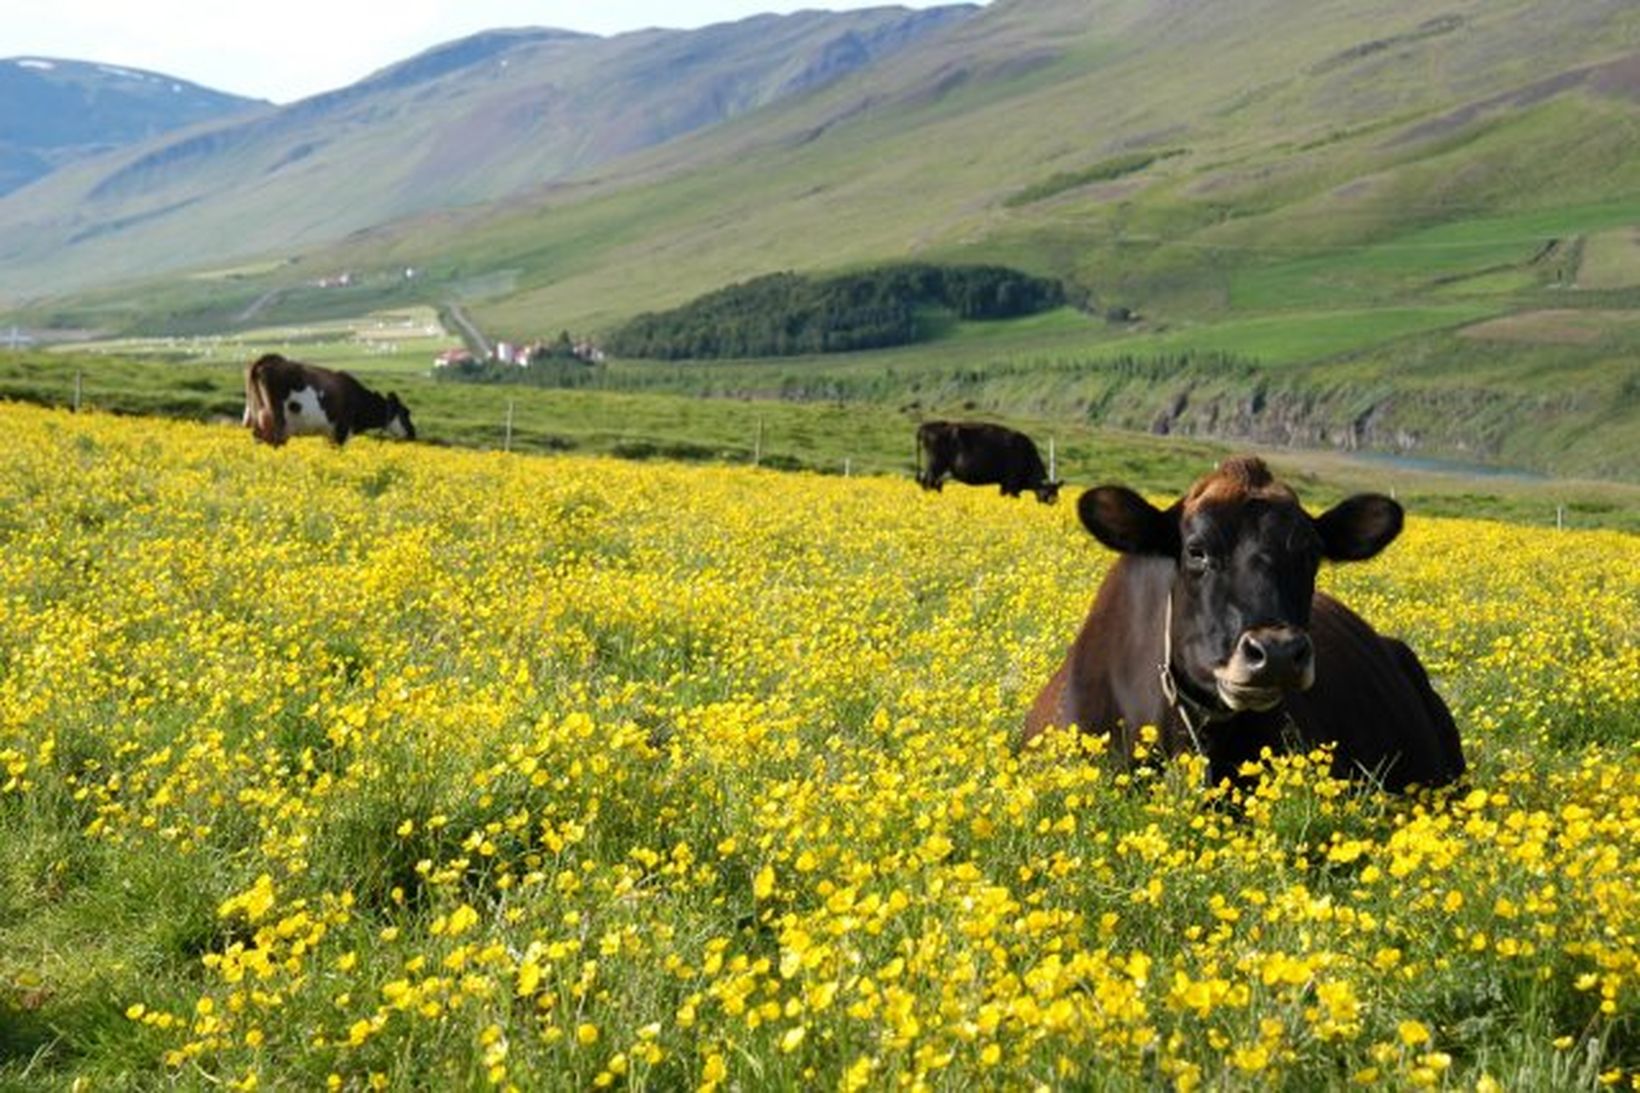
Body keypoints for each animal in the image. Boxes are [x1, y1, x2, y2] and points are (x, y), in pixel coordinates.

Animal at [247, 352, 419, 446]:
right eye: (406, 413)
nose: (413, 433)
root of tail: (268, 360)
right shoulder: (341, 431)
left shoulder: (329, 434)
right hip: (279, 420)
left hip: (258, 416)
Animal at [911, 416, 1062, 502]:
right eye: (1049, 493)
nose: (1053, 503)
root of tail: (925, 427)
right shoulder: (1012, 484)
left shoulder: (1004, 484)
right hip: (935, 467)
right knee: (928, 484)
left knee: (934, 485)